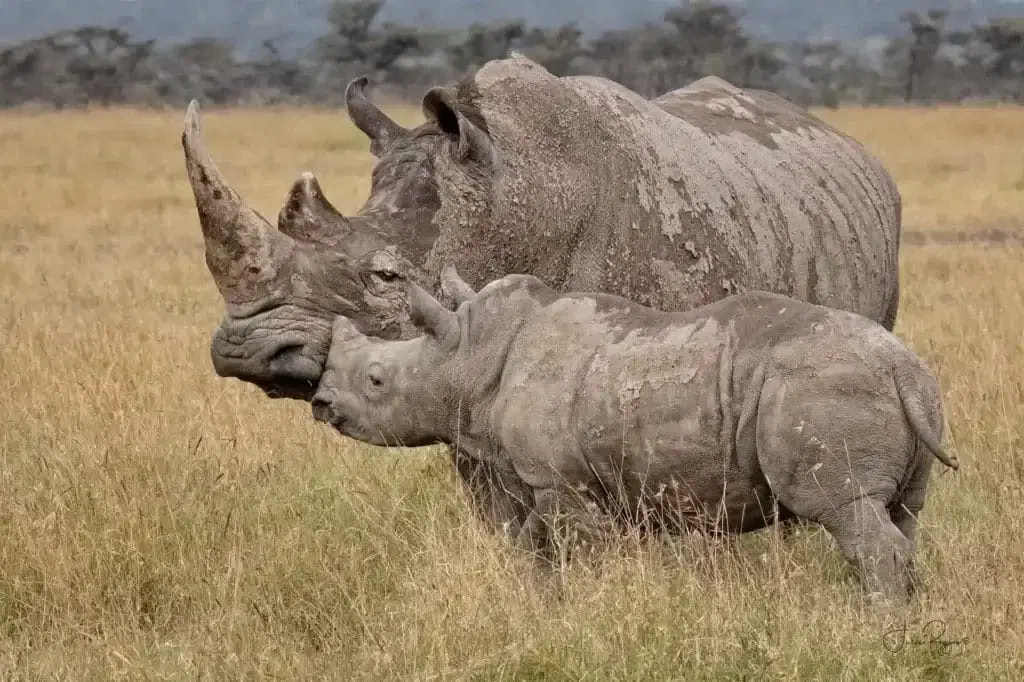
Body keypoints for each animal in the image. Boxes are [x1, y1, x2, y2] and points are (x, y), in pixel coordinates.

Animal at [311, 267, 958, 600]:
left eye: (376, 381)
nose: (321, 404)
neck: (469, 358)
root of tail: (903, 368)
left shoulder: (561, 482)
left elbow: (582, 550)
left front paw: (595, 603)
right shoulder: (547, 479)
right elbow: (533, 546)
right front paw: (538, 600)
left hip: (819, 388)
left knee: (847, 511)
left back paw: (878, 623)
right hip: (904, 392)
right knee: (901, 513)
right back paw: (900, 612)